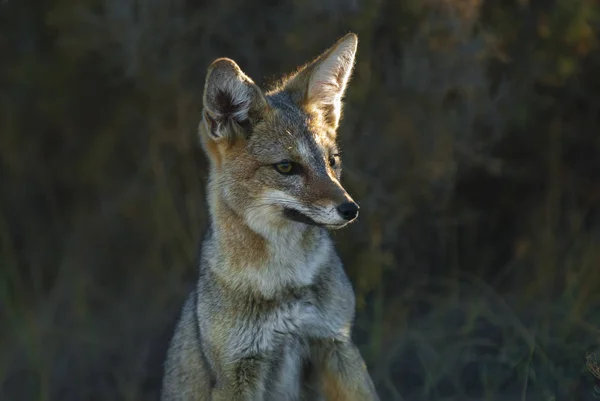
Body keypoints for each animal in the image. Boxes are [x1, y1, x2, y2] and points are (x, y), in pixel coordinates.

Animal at [161, 32, 380, 398]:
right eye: (286, 167)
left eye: (332, 162)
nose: (351, 209)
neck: (285, 282)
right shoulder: (236, 372)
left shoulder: (336, 343)